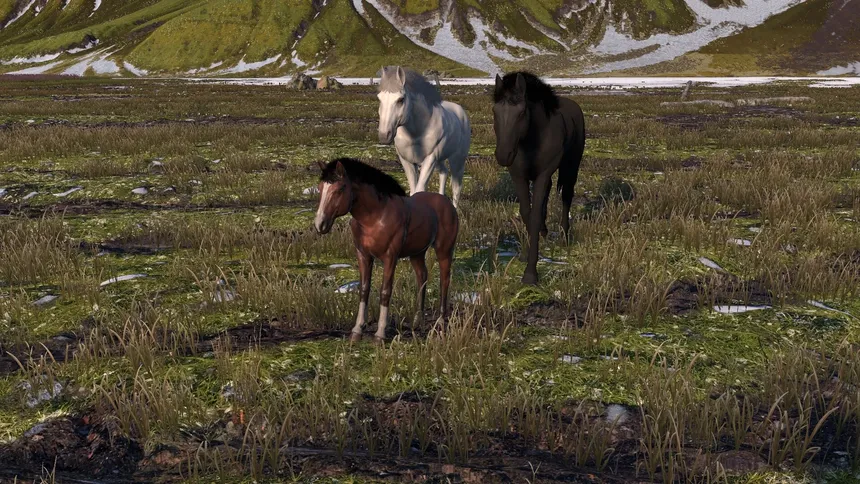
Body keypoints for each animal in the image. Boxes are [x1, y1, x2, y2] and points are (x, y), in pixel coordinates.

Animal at [313, 157, 459, 342]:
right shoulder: (363, 255)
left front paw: (380, 334)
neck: (375, 217)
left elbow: (385, 291)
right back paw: (417, 322)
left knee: (444, 280)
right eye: (320, 188)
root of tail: (447, 203)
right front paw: (357, 331)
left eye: (340, 189)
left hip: (444, 251)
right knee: (422, 277)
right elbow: (364, 289)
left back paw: (440, 323)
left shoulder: (390, 257)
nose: (320, 224)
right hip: (417, 253)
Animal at [377, 66, 471, 208]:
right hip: (440, 160)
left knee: (456, 187)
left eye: (400, 99)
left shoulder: (430, 160)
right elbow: (413, 190)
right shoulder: (407, 161)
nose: (384, 135)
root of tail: (461, 112)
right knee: (444, 173)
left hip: (457, 159)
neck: (416, 133)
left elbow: (419, 190)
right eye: (379, 99)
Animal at [492, 72, 586, 285]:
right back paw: (544, 231)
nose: (503, 155)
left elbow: (534, 216)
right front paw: (526, 254)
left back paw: (564, 236)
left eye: (521, 113)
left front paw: (530, 275)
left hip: (571, 165)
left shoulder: (543, 174)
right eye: (494, 111)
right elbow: (526, 213)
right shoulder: (518, 176)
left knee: (567, 195)